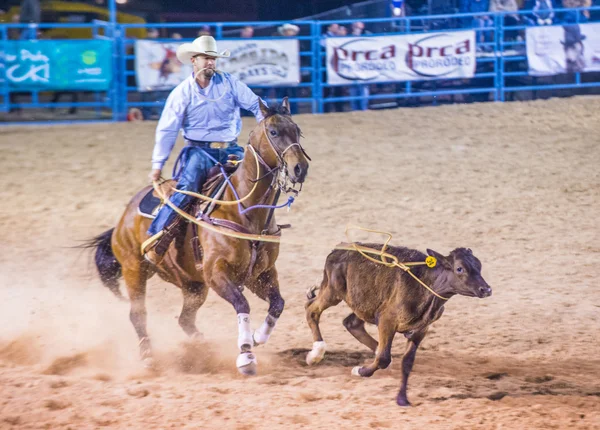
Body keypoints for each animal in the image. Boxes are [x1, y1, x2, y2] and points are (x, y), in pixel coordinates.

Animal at [85, 99, 310, 374]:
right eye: (274, 132)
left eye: (297, 130)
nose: (300, 168)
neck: (244, 209)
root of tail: (122, 219)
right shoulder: (216, 273)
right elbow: (242, 305)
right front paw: (246, 354)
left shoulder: (261, 274)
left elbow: (278, 304)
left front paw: (257, 337)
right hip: (134, 270)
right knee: (137, 314)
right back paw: (148, 356)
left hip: (193, 286)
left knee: (185, 320)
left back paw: (203, 347)